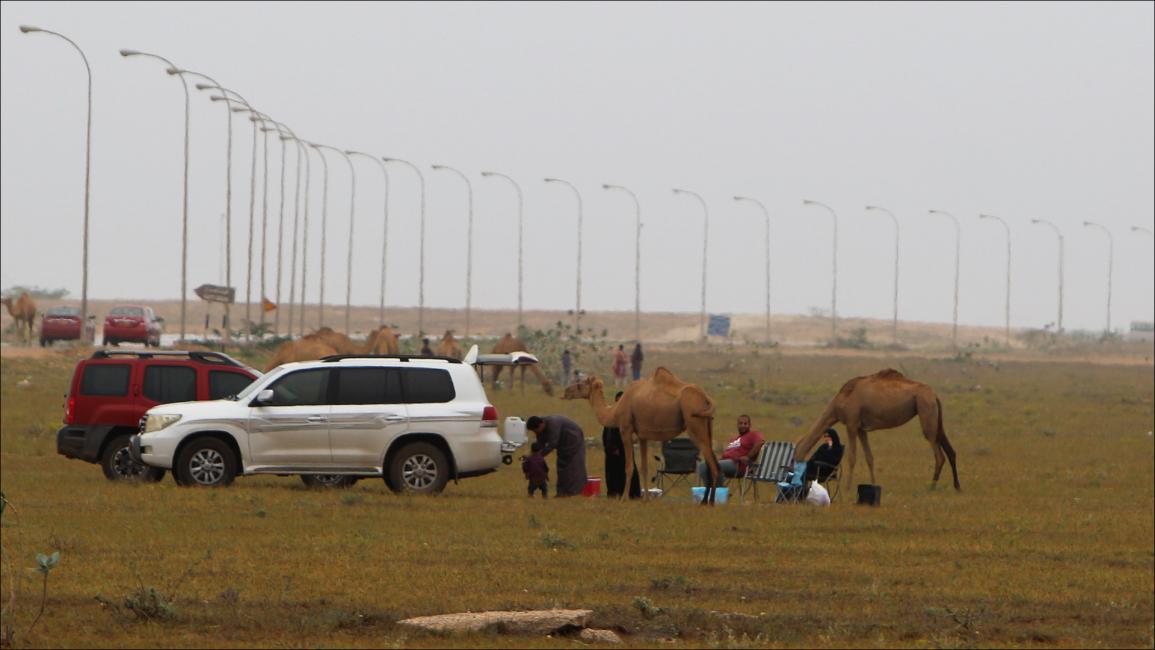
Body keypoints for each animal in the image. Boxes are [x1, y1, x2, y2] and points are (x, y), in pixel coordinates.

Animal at [561, 371, 720, 503]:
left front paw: (624, 498)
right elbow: (644, 467)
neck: (615, 411)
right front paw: (646, 499)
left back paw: (709, 502)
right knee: (712, 461)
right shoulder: (643, 435)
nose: (565, 392)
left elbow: (629, 466)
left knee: (712, 464)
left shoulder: (625, 429)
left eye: (580, 384)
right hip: (708, 424)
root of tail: (705, 397)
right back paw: (706, 500)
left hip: (695, 424)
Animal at [794, 369, 965, 491]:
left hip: (925, 410)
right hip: (935, 417)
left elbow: (852, 457)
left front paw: (848, 487)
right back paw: (957, 486)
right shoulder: (861, 428)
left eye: (794, 457)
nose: (791, 476)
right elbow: (869, 457)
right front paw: (873, 483)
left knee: (939, 455)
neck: (838, 404)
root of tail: (934, 395)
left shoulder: (851, 423)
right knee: (950, 450)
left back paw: (932, 486)